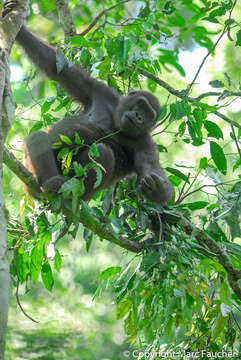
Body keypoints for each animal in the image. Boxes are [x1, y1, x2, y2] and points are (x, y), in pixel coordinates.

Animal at [2, 0, 173, 204]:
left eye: (148, 116)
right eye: (141, 105)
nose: (139, 117)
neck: (115, 120)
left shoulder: (146, 145)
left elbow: (154, 175)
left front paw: (157, 189)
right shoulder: (100, 91)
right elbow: (56, 67)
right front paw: (19, 28)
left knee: (103, 153)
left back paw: (67, 197)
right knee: (38, 138)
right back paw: (50, 183)